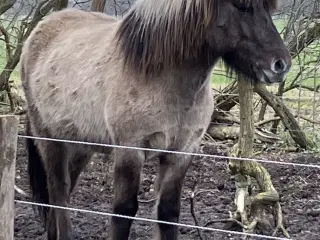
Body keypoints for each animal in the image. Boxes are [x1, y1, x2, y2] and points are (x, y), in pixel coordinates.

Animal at [19, 0, 290, 239]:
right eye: (242, 6)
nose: (280, 65)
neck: (159, 77)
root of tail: (40, 29)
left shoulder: (181, 153)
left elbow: (167, 213)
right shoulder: (130, 151)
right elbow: (124, 212)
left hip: (81, 145)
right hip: (50, 140)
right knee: (58, 193)